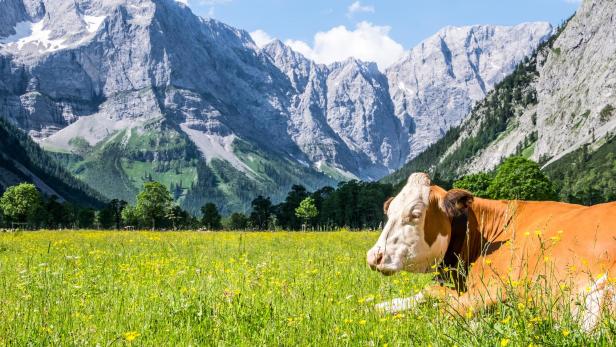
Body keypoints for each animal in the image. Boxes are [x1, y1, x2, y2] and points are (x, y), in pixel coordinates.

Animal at [368, 173, 612, 332]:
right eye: (389, 211)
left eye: (415, 214)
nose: (373, 256)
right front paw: (380, 306)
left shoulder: (496, 288)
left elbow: (438, 306)